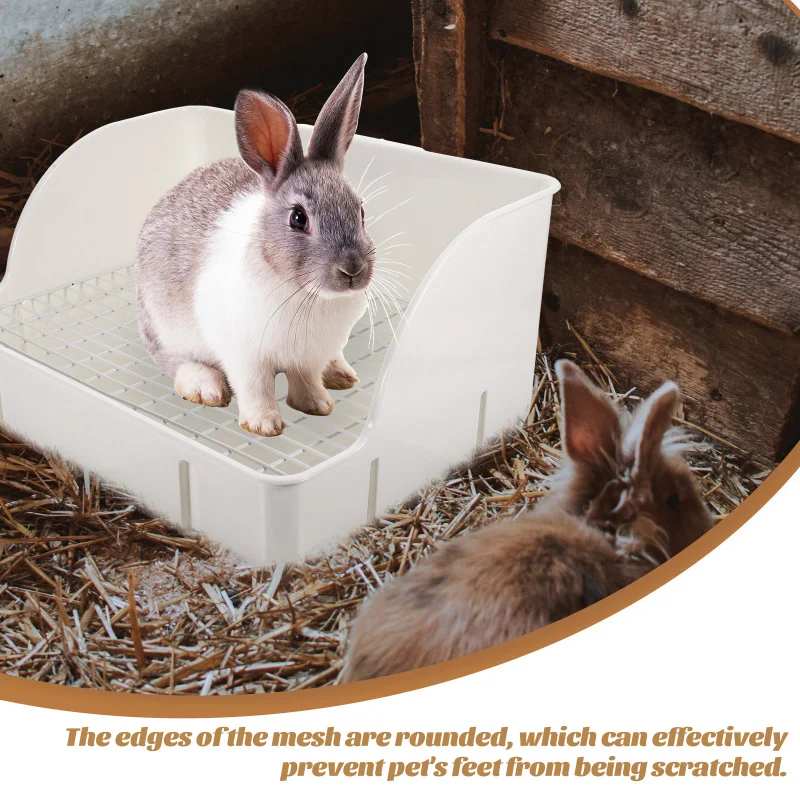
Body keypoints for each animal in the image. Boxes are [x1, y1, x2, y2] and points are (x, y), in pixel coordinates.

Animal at [135, 54, 375, 436]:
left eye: (361, 211)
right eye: (298, 218)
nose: (353, 269)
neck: (306, 295)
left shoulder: (307, 357)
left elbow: (305, 380)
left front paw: (317, 406)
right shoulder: (244, 356)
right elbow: (256, 388)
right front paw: (264, 425)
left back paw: (340, 374)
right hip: (165, 327)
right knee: (172, 359)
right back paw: (205, 387)